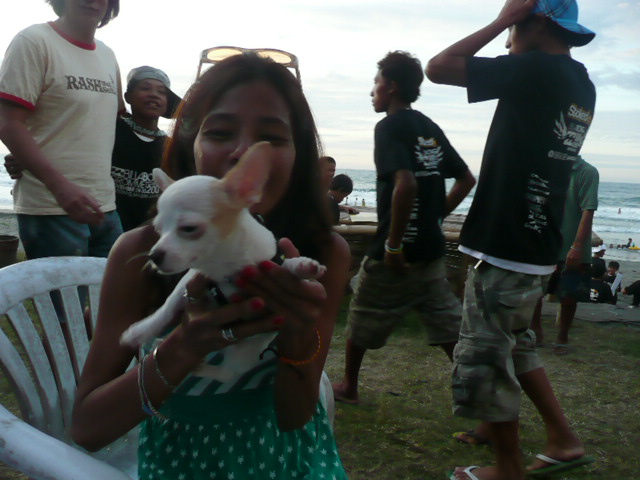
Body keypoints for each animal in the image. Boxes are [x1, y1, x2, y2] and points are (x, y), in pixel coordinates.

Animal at [120, 142, 327, 384]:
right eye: (158, 230)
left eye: (189, 229)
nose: (154, 256)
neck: (224, 267)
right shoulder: (191, 279)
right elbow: (168, 306)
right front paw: (142, 330)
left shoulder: (268, 263)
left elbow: (285, 265)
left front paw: (303, 265)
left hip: (246, 351)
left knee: (231, 373)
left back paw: (201, 368)